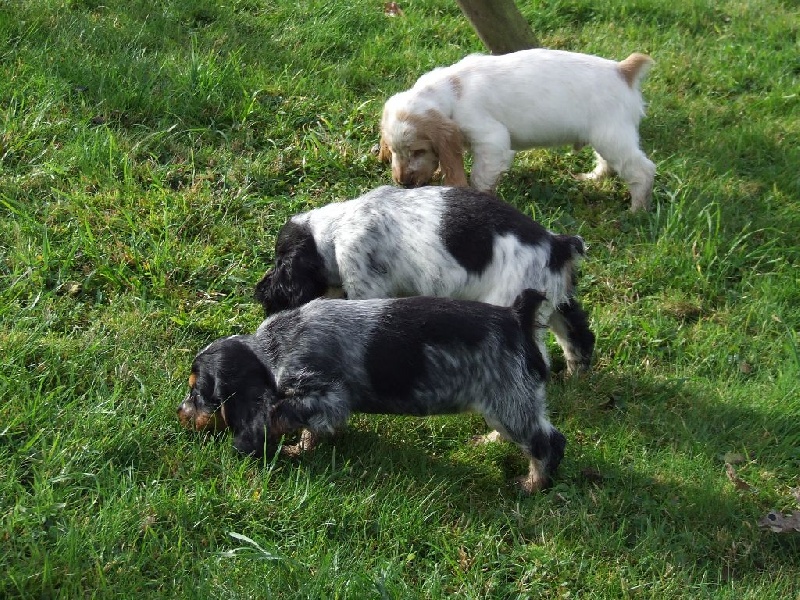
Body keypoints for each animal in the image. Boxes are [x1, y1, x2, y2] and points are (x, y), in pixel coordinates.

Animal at [180, 290, 568, 492]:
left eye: (198, 392)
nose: (181, 414)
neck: (270, 350)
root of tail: (517, 318)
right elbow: (308, 429)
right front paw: (301, 447)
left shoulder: (325, 396)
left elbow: (280, 413)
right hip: (504, 402)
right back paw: (489, 443)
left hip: (511, 404)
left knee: (548, 443)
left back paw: (532, 484)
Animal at [255, 185, 592, 376]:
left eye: (279, 261)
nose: (260, 292)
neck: (336, 230)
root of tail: (557, 246)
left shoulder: (364, 284)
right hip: (557, 302)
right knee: (577, 333)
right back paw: (576, 375)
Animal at [382, 48, 656, 211]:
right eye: (394, 151)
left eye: (418, 151)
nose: (403, 183)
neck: (451, 90)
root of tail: (622, 71)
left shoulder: (492, 140)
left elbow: (480, 177)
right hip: (604, 137)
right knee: (608, 163)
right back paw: (592, 178)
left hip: (612, 137)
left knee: (642, 170)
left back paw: (636, 210)